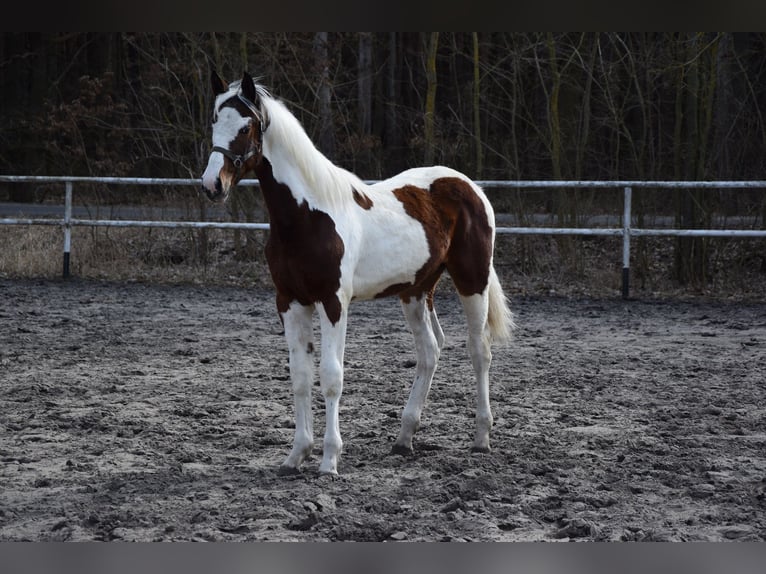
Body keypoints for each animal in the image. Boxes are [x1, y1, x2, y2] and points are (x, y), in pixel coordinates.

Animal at [201, 71, 515, 475]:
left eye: (244, 127)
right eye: (213, 122)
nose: (213, 185)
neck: (307, 216)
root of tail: (470, 187)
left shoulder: (334, 302)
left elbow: (332, 378)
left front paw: (329, 460)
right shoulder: (289, 301)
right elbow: (300, 376)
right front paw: (296, 455)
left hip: (471, 280)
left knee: (479, 351)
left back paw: (480, 438)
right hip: (416, 291)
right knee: (429, 352)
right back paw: (404, 438)